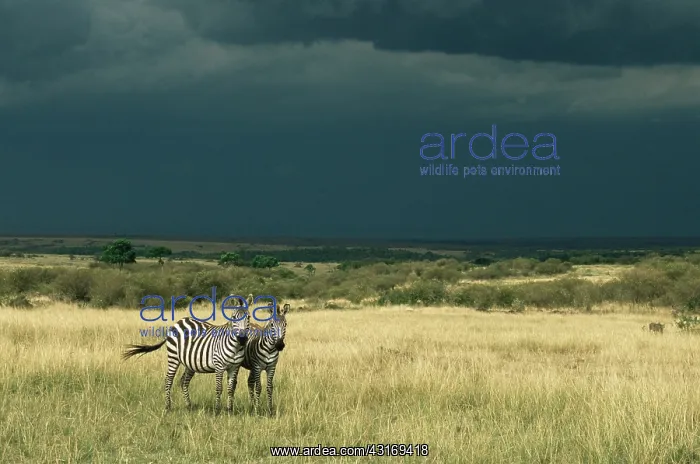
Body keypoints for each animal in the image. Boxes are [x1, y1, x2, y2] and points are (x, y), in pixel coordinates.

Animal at [122, 298, 251, 413]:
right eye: (234, 318)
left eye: (248, 317)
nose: (242, 339)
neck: (236, 347)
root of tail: (178, 322)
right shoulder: (219, 366)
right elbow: (219, 388)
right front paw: (217, 411)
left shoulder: (234, 368)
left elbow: (231, 389)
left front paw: (229, 410)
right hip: (173, 357)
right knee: (168, 380)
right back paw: (168, 407)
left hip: (190, 362)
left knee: (184, 381)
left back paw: (188, 406)